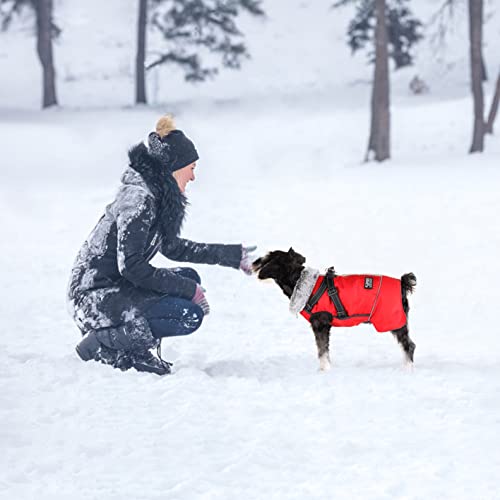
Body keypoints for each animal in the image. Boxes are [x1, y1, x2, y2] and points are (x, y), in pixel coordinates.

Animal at [252, 249, 416, 372]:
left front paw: (324, 369)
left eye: (266, 259)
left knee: (409, 346)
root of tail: (403, 284)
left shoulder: (320, 324)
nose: (254, 263)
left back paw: (407, 369)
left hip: (393, 321)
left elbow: (322, 349)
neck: (298, 281)